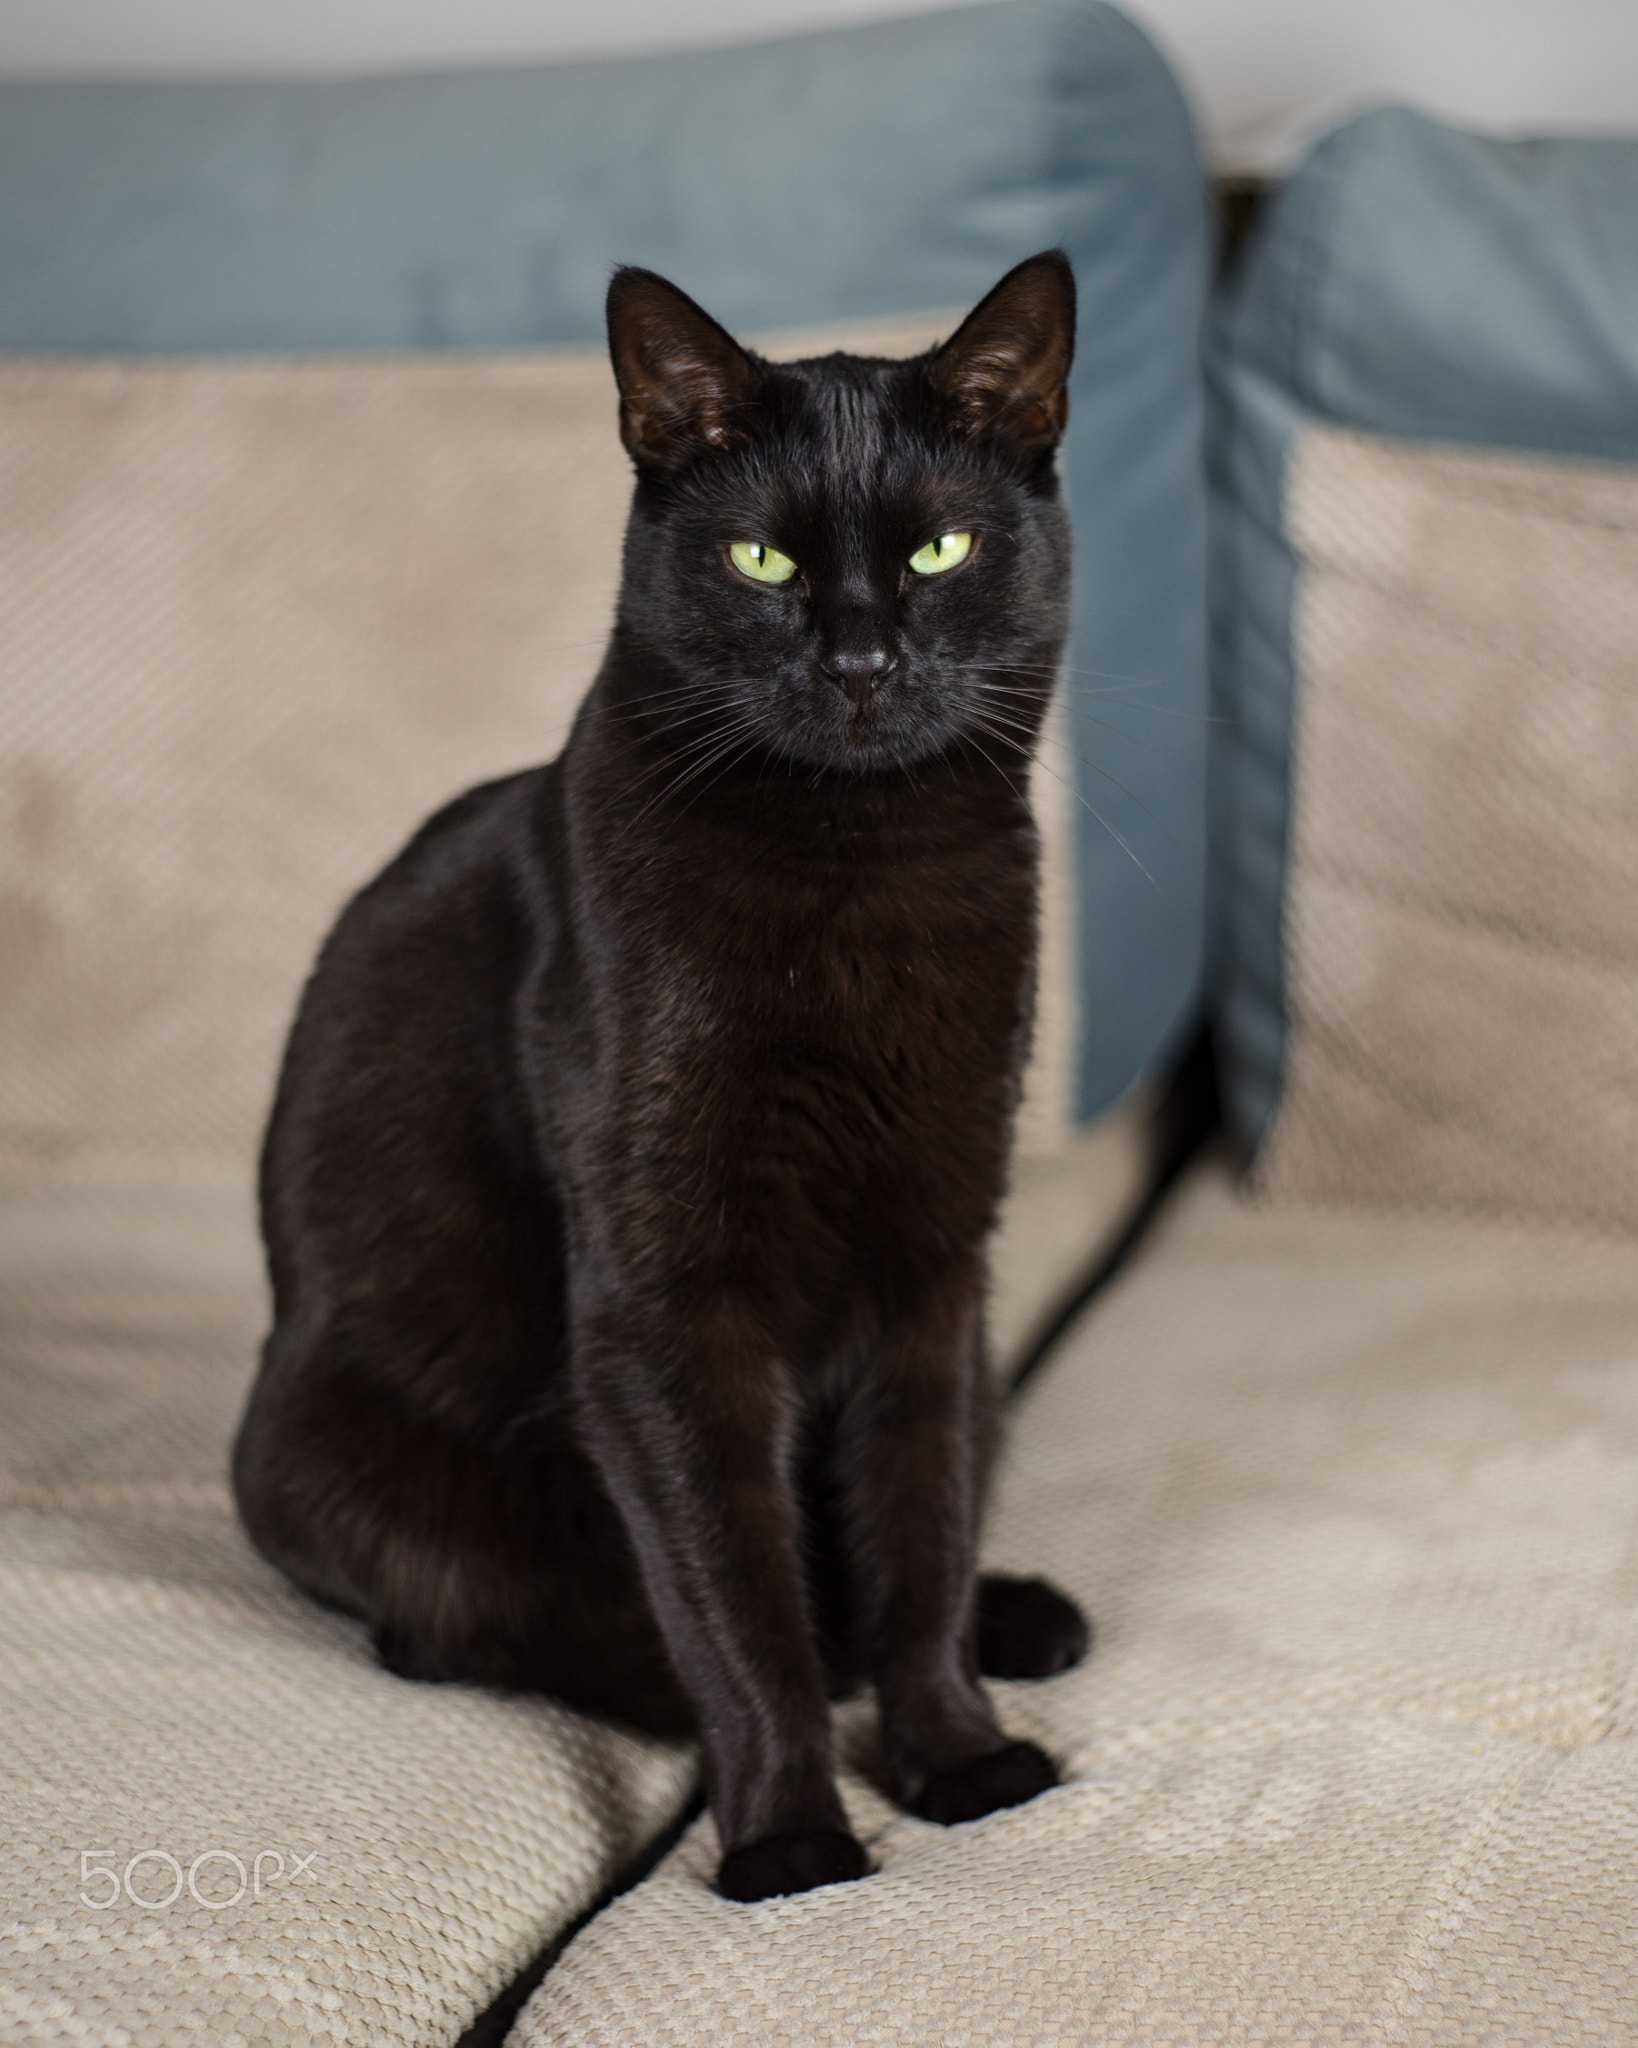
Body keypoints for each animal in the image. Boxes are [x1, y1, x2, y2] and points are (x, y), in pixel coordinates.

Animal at [233, 251, 1089, 1900]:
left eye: (939, 548)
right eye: (762, 562)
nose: (861, 660)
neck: (861, 880)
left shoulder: (938, 1265)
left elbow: (918, 1529)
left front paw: (959, 1756)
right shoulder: (663, 1308)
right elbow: (738, 1605)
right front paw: (791, 1840)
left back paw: (1021, 1616)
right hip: (343, 1463)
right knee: (495, 1624)